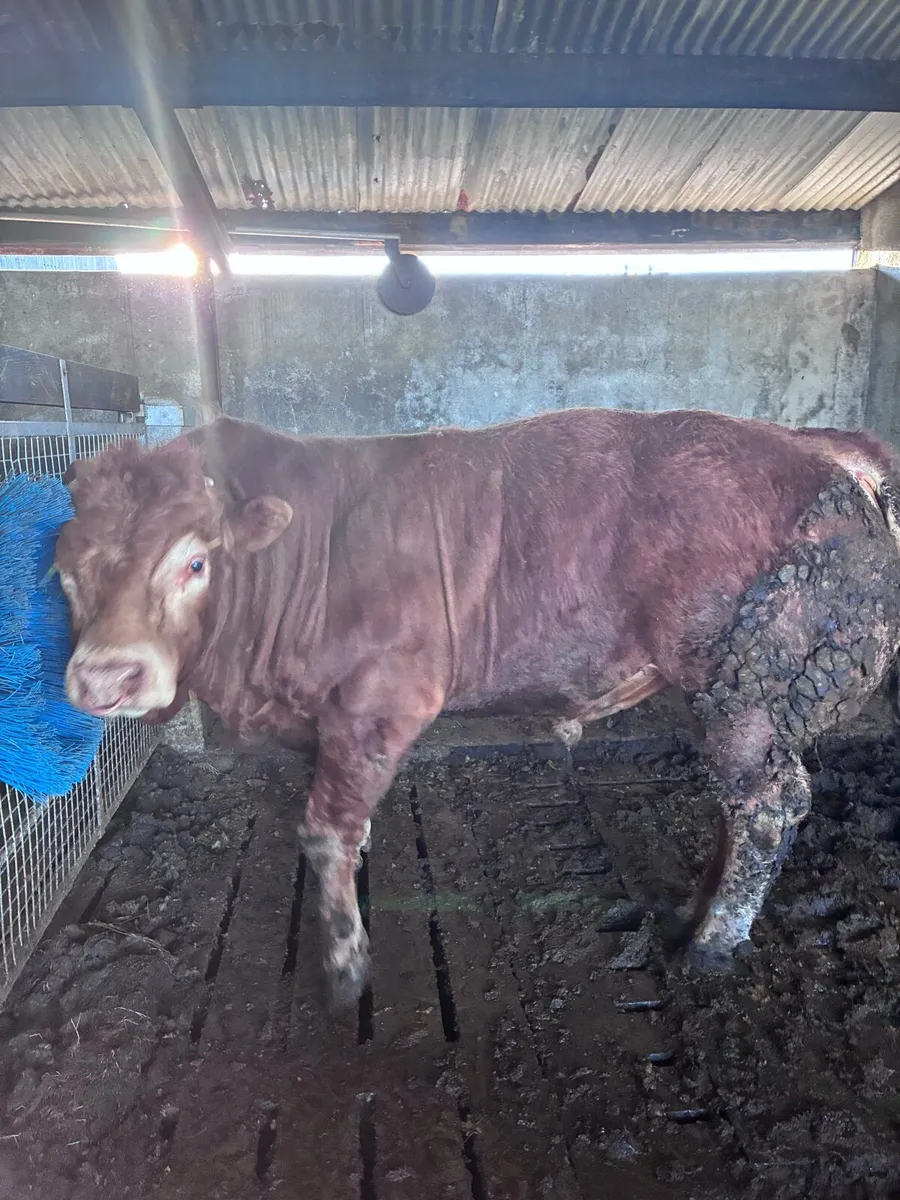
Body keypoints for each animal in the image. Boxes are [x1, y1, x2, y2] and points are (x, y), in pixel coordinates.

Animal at [55, 408, 900, 1007]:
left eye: (195, 561)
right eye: (65, 572)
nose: (105, 678)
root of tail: (827, 449)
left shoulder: (382, 697)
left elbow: (326, 832)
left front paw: (345, 967)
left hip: (748, 689)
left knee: (767, 805)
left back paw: (712, 944)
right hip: (734, 700)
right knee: (741, 807)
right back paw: (693, 913)